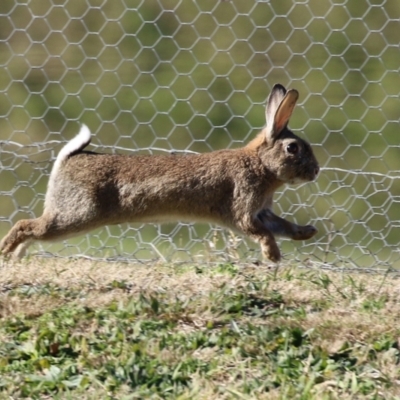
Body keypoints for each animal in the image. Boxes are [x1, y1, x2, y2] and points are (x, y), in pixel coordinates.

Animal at [0, 82, 318, 260]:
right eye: (292, 148)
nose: (315, 171)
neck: (260, 163)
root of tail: (68, 158)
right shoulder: (243, 209)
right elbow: (261, 232)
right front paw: (273, 256)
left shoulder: (262, 211)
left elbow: (282, 226)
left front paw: (307, 232)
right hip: (77, 215)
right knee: (26, 225)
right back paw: (6, 252)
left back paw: (18, 257)